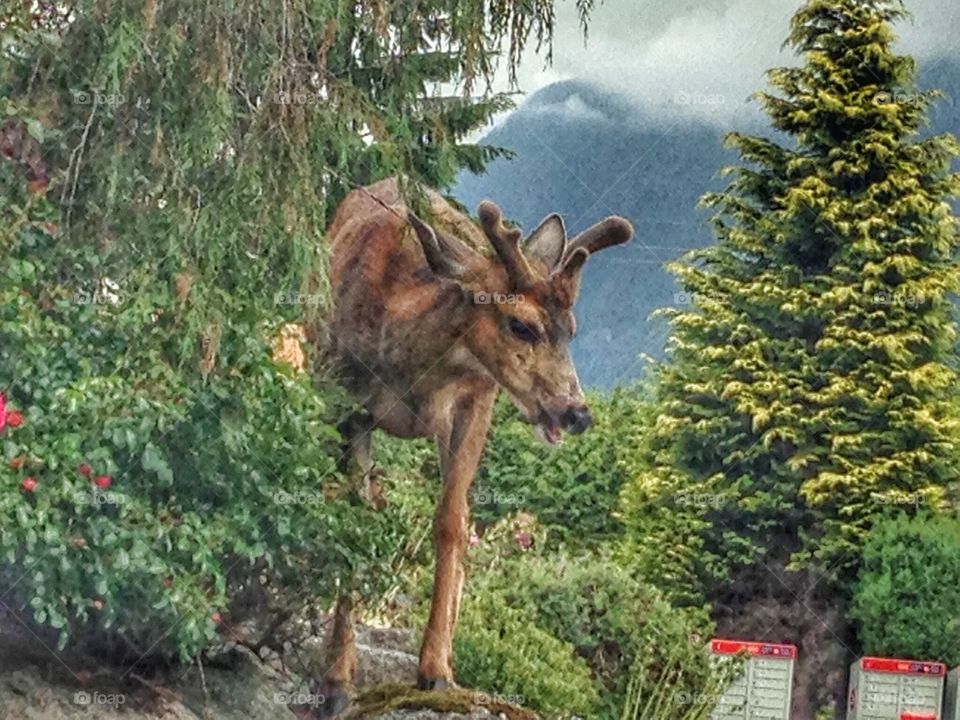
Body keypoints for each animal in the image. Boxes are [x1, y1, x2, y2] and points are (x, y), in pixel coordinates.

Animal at [312, 177, 632, 716]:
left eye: (571, 329)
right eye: (521, 324)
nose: (576, 412)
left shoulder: (476, 399)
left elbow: (452, 523)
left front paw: (435, 669)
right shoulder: (345, 396)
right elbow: (354, 517)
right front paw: (336, 679)